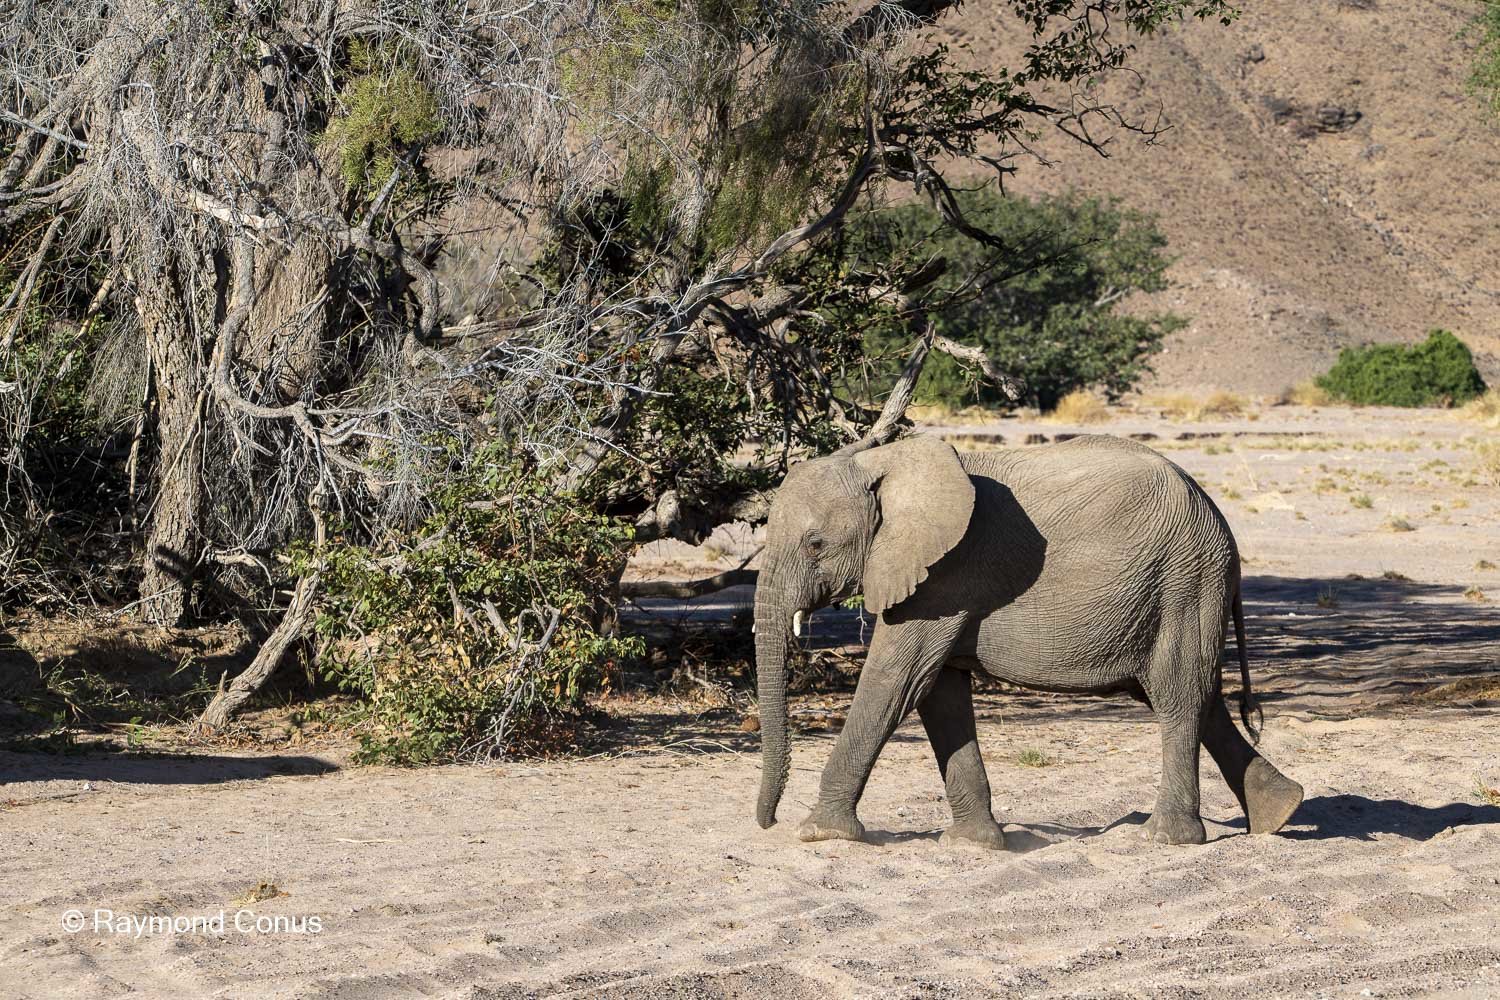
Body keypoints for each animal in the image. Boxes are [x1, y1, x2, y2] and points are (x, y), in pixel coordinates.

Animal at [751, 432, 1304, 849]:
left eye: (815, 544)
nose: (768, 822)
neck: (883, 461)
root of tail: (1217, 513)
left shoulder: (944, 577)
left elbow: (896, 680)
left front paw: (819, 834)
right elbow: (939, 694)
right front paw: (975, 844)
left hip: (1186, 581)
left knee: (1178, 696)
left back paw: (1164, 838)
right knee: (1194, 696)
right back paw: (1281, 812)